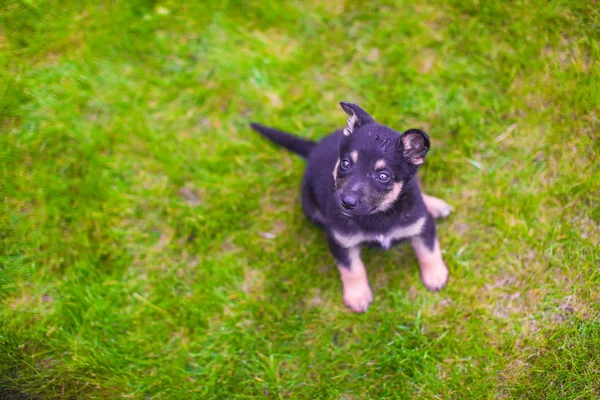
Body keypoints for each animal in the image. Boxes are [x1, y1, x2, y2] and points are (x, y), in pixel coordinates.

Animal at [251, 102, 452, 312]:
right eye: (346, 163)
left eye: (383, 176)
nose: (346, 202)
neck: (379, 214)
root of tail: (314, 148)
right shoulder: (341, 241)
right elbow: (352, 269)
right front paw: (357, 296)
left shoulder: (422, 224)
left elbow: (429, 251)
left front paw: (435, 275)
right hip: (310, 208)